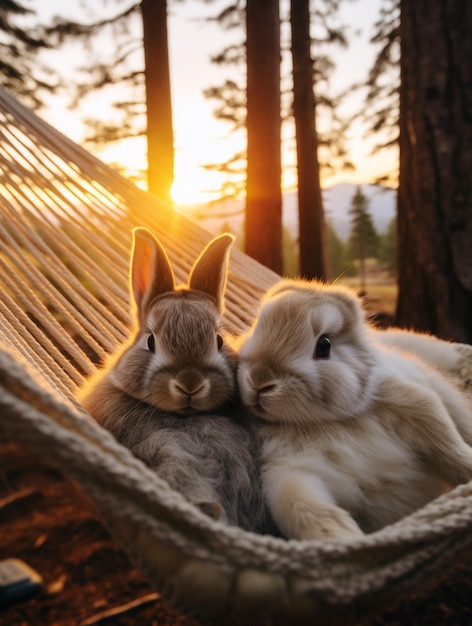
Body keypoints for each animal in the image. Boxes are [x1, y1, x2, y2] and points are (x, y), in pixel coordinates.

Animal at [238, 280, 472, 540]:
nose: (259, 381)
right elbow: (301, 508)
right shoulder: (288, 471)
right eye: (255, 328)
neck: (324, 422)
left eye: (324, 346)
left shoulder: (410, 404)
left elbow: (446, 443)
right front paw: (347, 537)